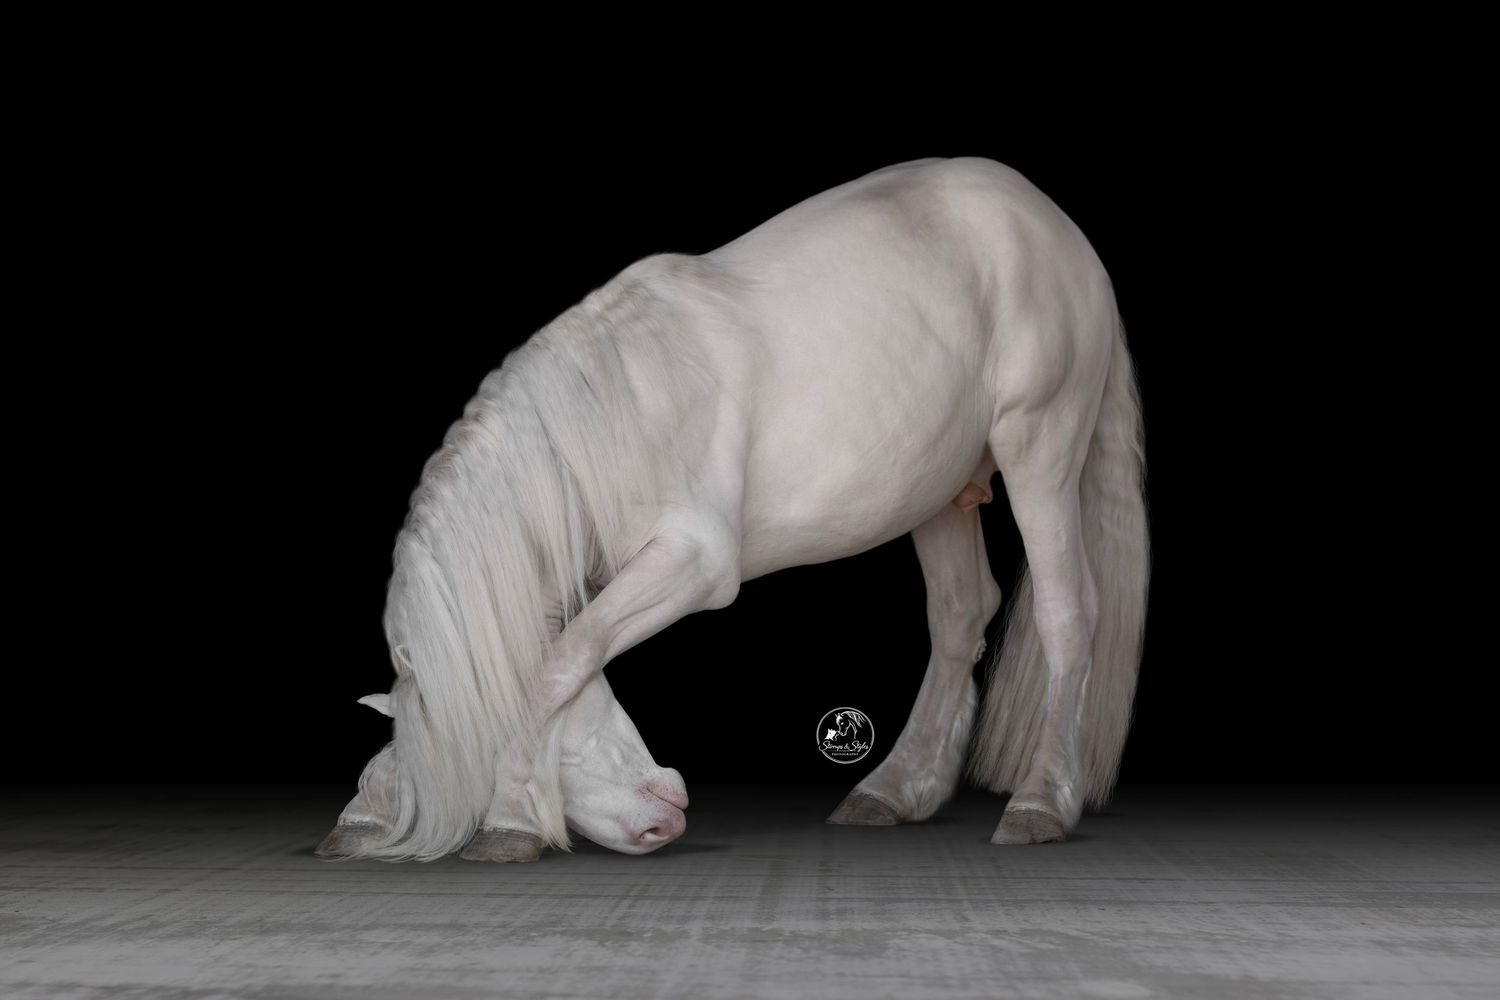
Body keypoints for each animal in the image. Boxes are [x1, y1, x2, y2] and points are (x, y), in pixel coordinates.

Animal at [315, 155, 1149, 863]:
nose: (668, 799)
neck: (607, 419)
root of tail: (1050, 220)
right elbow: (570, 658)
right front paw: (374, 809)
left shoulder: (692, 563)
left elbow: (558, 665)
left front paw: (509, 819)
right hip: (939, 488)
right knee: (958, 615)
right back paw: (890, 790)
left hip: (1042, 446)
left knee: (1069, 611)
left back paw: (1040, 803)